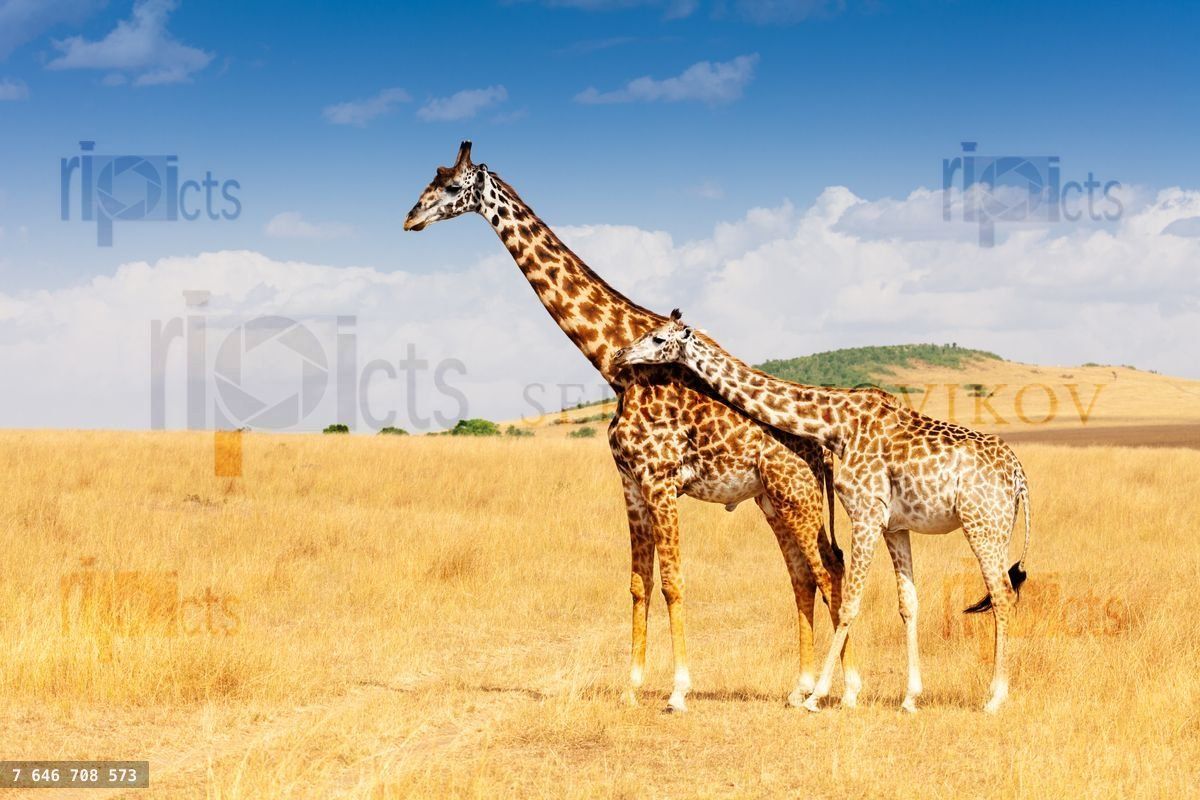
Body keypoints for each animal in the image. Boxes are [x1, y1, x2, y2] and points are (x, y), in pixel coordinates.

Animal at [404, 142, 860, 712]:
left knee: (830, 568)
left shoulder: (660, 480)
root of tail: (824, 445)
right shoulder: (630, 483)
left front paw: (678, 691)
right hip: (771, 498)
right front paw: (632, 686)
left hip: (796, 492)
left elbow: (673, 581)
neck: (614, 365)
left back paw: (841, 690)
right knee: (802, 574)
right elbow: (639, 583)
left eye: (449, 186)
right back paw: (800, 687)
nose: (409, 219)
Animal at [613, 312, 1033, 713]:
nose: (619, 355)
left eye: (657, 338)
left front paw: (820, 696)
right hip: (997, 529)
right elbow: (908, 603)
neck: (836, 425)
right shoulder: (894, 526)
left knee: (1001, 594)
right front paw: (910, 698)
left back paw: (995, 698)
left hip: (981, 525)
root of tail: (1018, 475)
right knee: (1000, 593)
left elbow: (848, 602)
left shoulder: (865, 513)